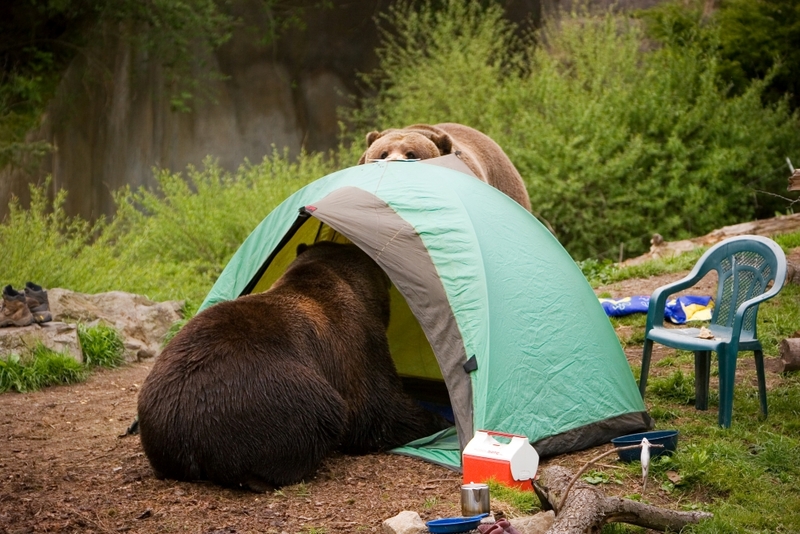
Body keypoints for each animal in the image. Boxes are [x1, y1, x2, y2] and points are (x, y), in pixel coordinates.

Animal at [137, 243, 450, 494]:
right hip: (268, 397)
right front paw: (436, 420)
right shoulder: (357, 343)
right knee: (321, 414)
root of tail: (182, 431)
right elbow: (379, 407)